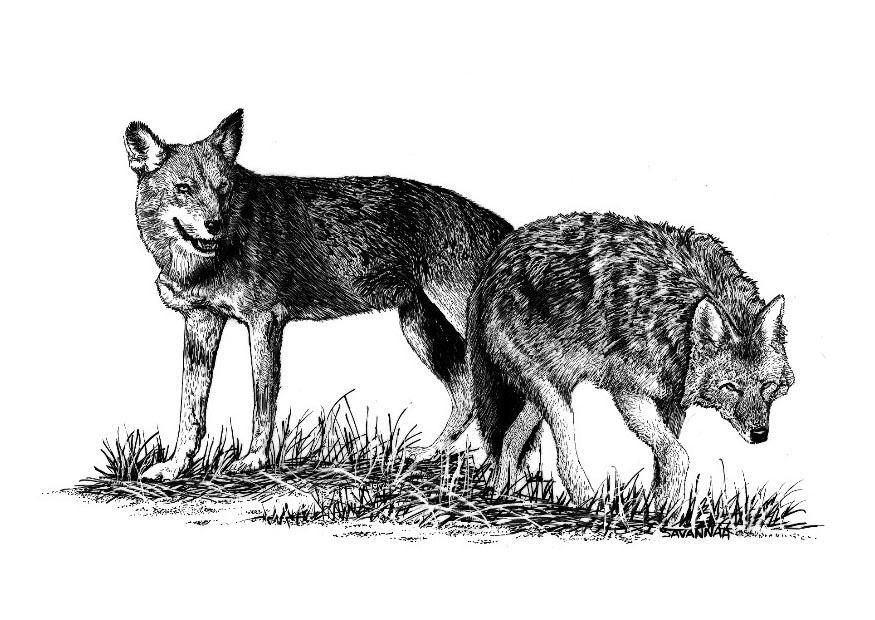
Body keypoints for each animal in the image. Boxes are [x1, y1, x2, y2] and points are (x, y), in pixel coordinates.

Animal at [124, 110, 512, 480]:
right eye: (184, 188)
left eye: (222, 189)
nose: (214, 224)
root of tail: (500, 226)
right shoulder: (201, 322)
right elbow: (190, 413)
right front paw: (175, 467)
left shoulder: (264, 323)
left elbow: (262, 405)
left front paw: (255, 460)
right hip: (421, 330)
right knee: (466, 394)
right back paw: (433, 454)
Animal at [466, 212, 794, 504]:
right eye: (730, 388)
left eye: (766, 386)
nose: (759, 434)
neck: (674, 316)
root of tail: (490, 268)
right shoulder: (629, 394)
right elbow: (677, 455)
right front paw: (667, 510)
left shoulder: (671, 403)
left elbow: (663, 461)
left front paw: (661, 505)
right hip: (554, 397)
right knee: (561, 457)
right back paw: (590, 501)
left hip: (549, 390)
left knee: (509, 439)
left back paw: (499, 493)